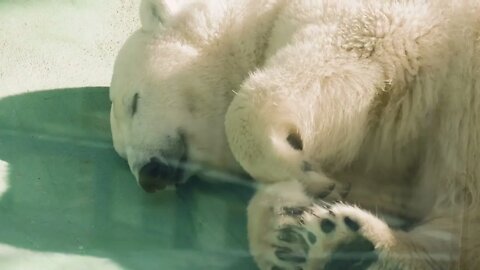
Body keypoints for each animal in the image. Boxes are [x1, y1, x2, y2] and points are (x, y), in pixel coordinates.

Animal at [110, 0, 480, 270]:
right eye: (122, 152)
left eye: (134, 102)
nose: (150, 174)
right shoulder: (393, 160)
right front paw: (285, 232)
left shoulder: (384, 21)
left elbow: (342, 56)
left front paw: (300, 170)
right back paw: (349, 245)